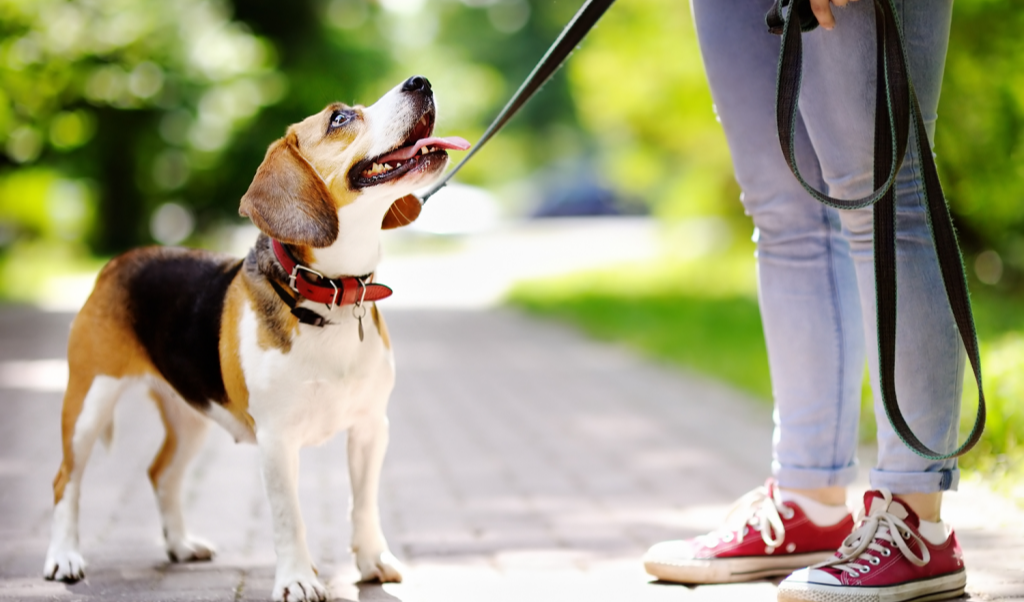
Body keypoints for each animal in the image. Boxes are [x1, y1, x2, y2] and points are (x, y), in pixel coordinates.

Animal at [41, 76, 468, 602]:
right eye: (340, 118)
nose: (420, 81)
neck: (329, 296)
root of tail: (120, 261)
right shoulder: (277, 440)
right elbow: (289, 517)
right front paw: (299, 579)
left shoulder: (371, 427)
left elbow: (363, 504)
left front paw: (372, 561)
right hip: (88, 403)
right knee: (65, 480)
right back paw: (63, 558)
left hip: (191, 415)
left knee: (161, 474)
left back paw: (180, 545)